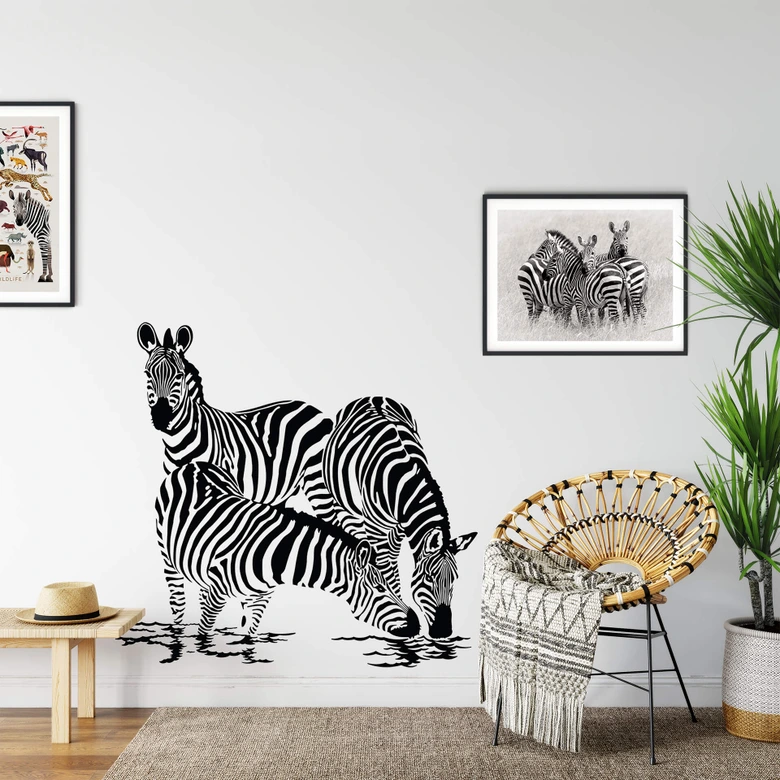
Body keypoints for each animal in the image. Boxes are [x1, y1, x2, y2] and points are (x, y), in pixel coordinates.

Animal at [156, 461, 420, 639]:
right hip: (167, 558)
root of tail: (194, 464)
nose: (417, 624)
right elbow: (204, 637)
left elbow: (249, 638)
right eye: (380, 589)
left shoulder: (260, 600)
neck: (274, 558)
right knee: (178, 602)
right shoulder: (217, 595)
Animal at [322, 396, 477, 639]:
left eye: (454, 580)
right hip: (344, 507)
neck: (401, 482)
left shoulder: (400, 530)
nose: (443, 631)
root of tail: (372, 396)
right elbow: (387, 569)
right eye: (429, 578)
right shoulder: (376, 529)